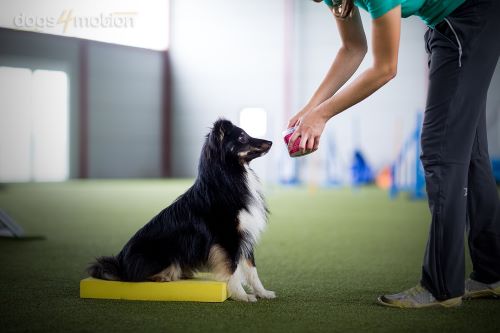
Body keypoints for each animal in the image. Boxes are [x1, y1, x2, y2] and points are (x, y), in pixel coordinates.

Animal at [89, 117, 278, 300]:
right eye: (242, 137)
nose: (270, 142)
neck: (230, 177)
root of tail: (120, 263)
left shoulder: (245, 235)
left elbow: (252, 270)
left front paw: (263, 293)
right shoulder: (228, 238)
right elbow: (232, 270)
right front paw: (241, 295)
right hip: (165, 253)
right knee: (137, 275)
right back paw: (165, 276)